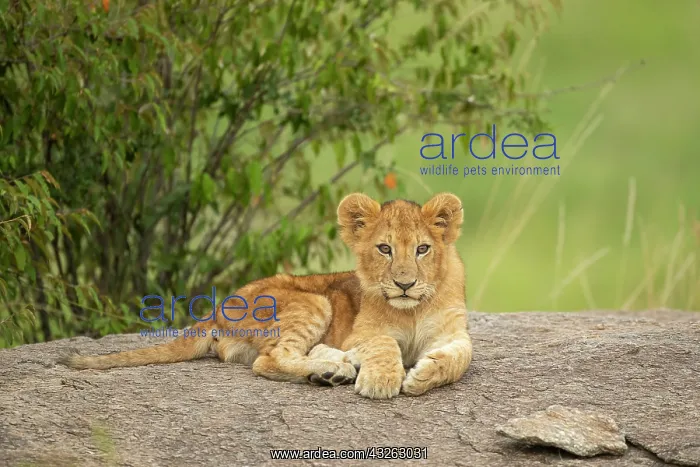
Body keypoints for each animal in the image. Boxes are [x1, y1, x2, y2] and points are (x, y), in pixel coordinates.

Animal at [59, 192, 473, 399]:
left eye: (422, 249)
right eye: (384, 249)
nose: (404, 284)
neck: (412, 309)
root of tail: (215, 310)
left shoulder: (454, 332)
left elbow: (461, 358)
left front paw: (425, 375)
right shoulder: (364, 331)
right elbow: (384, 344)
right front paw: (382, 381)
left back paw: (332, 367)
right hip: (312, 301)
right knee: (270, 359)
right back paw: (335, 370)